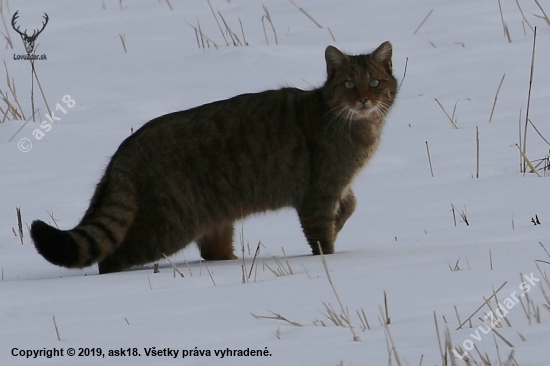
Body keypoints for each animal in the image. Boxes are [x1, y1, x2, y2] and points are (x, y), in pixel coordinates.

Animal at [30, 41, 398, 274]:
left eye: (375, 83)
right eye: (349, 84)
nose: (364, 99)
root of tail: (125, 149)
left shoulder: (339, 186)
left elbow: (350, 205)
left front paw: (342, 221)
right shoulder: (318, 193)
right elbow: (323, 237)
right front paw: (330, 255)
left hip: (216, 220)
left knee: (212, 253)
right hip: (170, 224)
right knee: (111, 260)